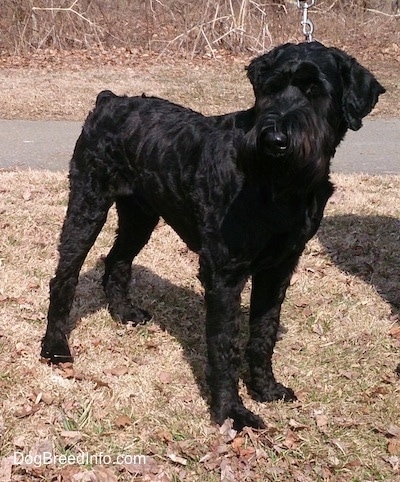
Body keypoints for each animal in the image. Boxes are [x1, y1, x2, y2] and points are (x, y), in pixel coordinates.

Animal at [40, 42, 384, 430]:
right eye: (271, 89)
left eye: (315, 91)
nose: (275, 140)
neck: (277, 185)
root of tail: (108, 101)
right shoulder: (224, 273)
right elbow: (224, 343)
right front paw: (231, 412)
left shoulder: (279, 267)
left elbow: (264, 331)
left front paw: (265, 388)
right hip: (87, 205)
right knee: (64, 276)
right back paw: (55, 347)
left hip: (140, 216)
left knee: (117, 260)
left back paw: (123, 313)